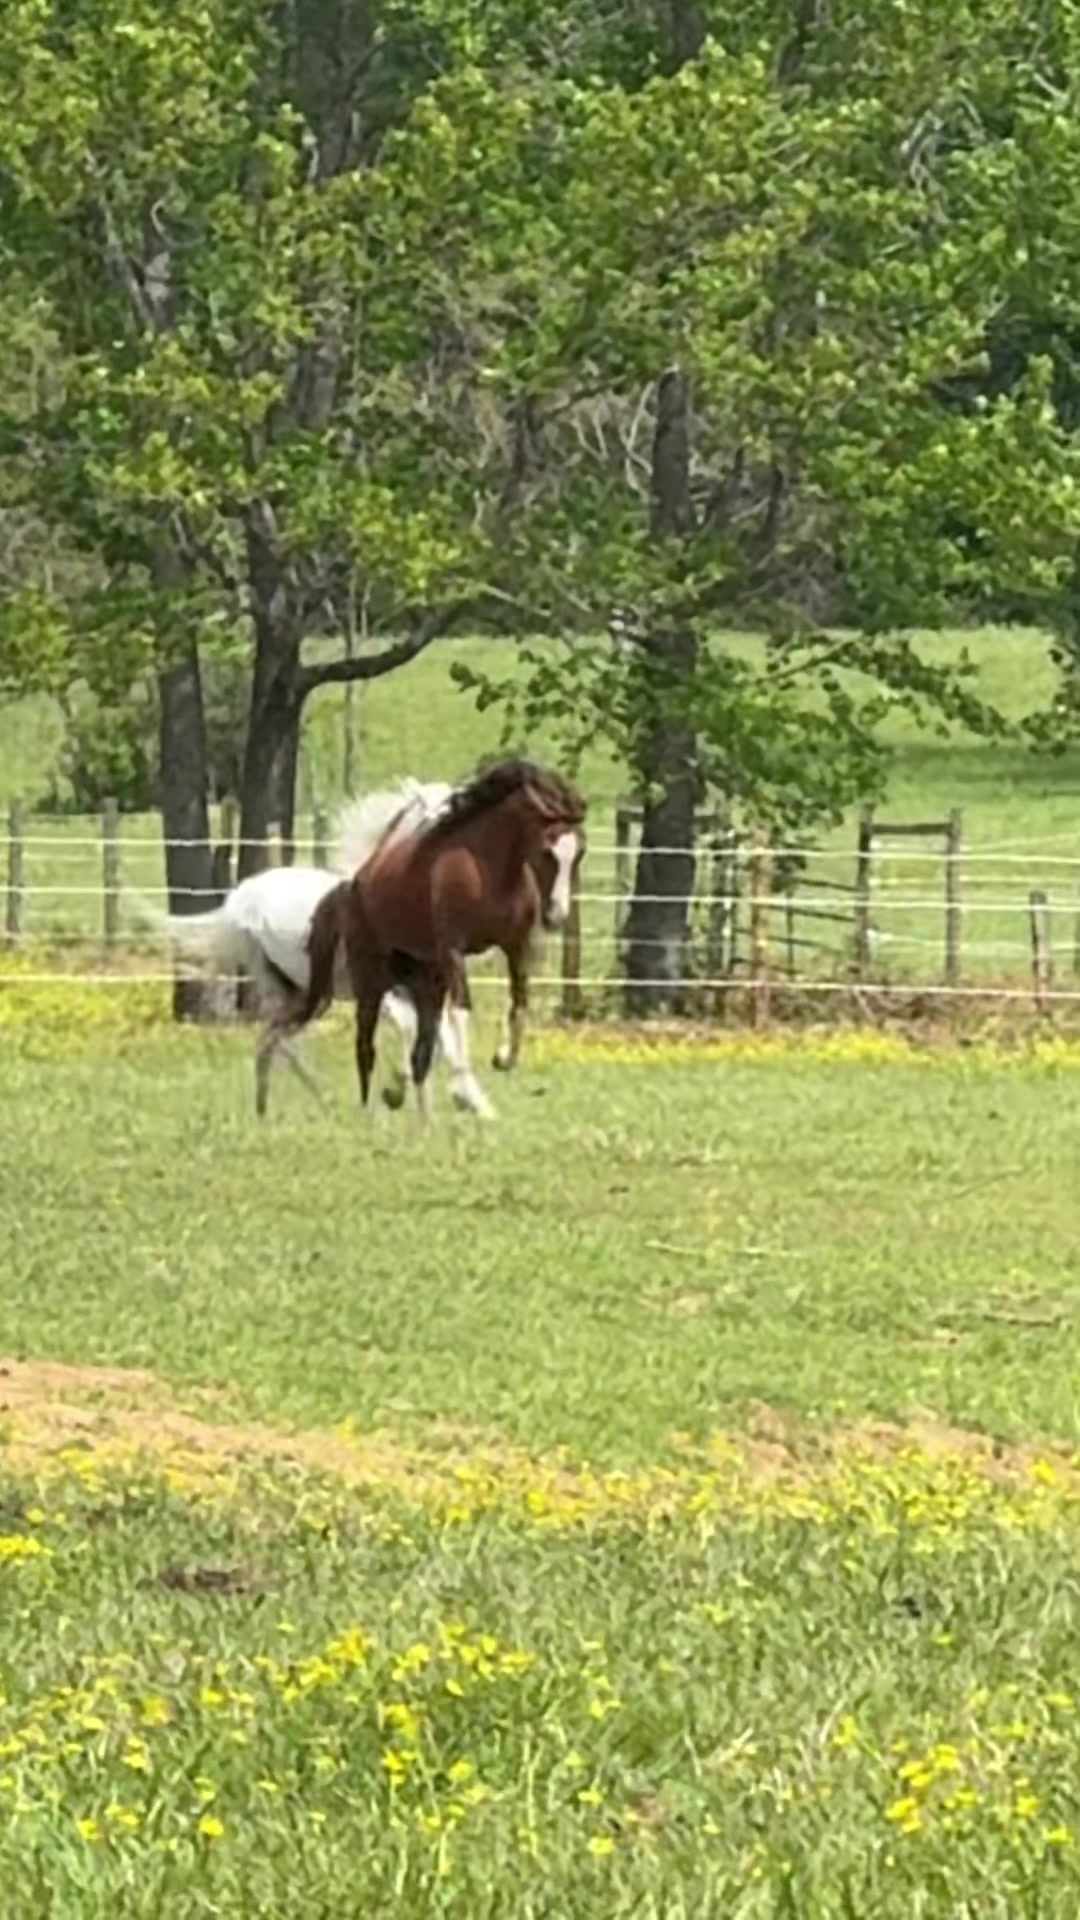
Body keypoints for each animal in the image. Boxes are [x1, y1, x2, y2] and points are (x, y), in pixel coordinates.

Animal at [295, 758, 587, 1118]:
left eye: (580, 852)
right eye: (547, 852)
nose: (556, 915)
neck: (489, 871)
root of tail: (360, 879)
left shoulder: (516, 947)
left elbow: (519, 1007)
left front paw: (502, 1059)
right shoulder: (453, 951)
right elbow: (461, 1013)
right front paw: (463, 1086)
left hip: (423, 974)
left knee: (420, 1035)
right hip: (377, 974)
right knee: (377, 1036)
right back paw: (387, 1099)